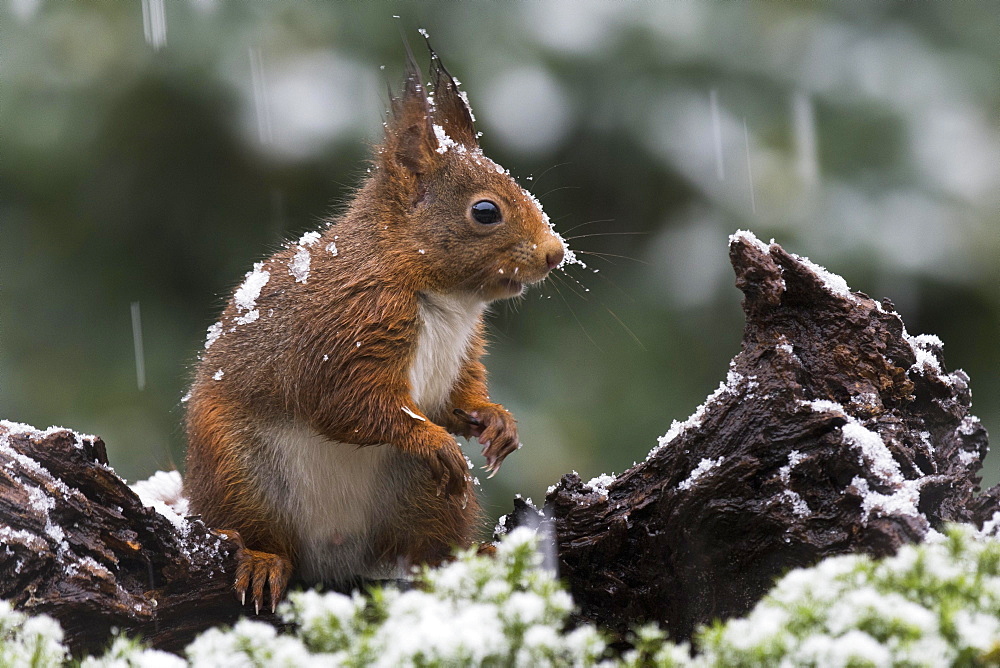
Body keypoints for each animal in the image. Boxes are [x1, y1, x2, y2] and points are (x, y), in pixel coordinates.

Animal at [184, 49, 568, 612]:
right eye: (485, 211)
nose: (555, 253)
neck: (447, 300)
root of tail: (334, 552)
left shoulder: (463, 351)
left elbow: (457, 397)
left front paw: (495, 420)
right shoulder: (348, 329)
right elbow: (348, 404)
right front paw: (431, 438)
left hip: (425, 497)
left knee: (422, 549)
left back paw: (469, 557)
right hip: (237, 470)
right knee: (252, 529)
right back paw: (260, 560)